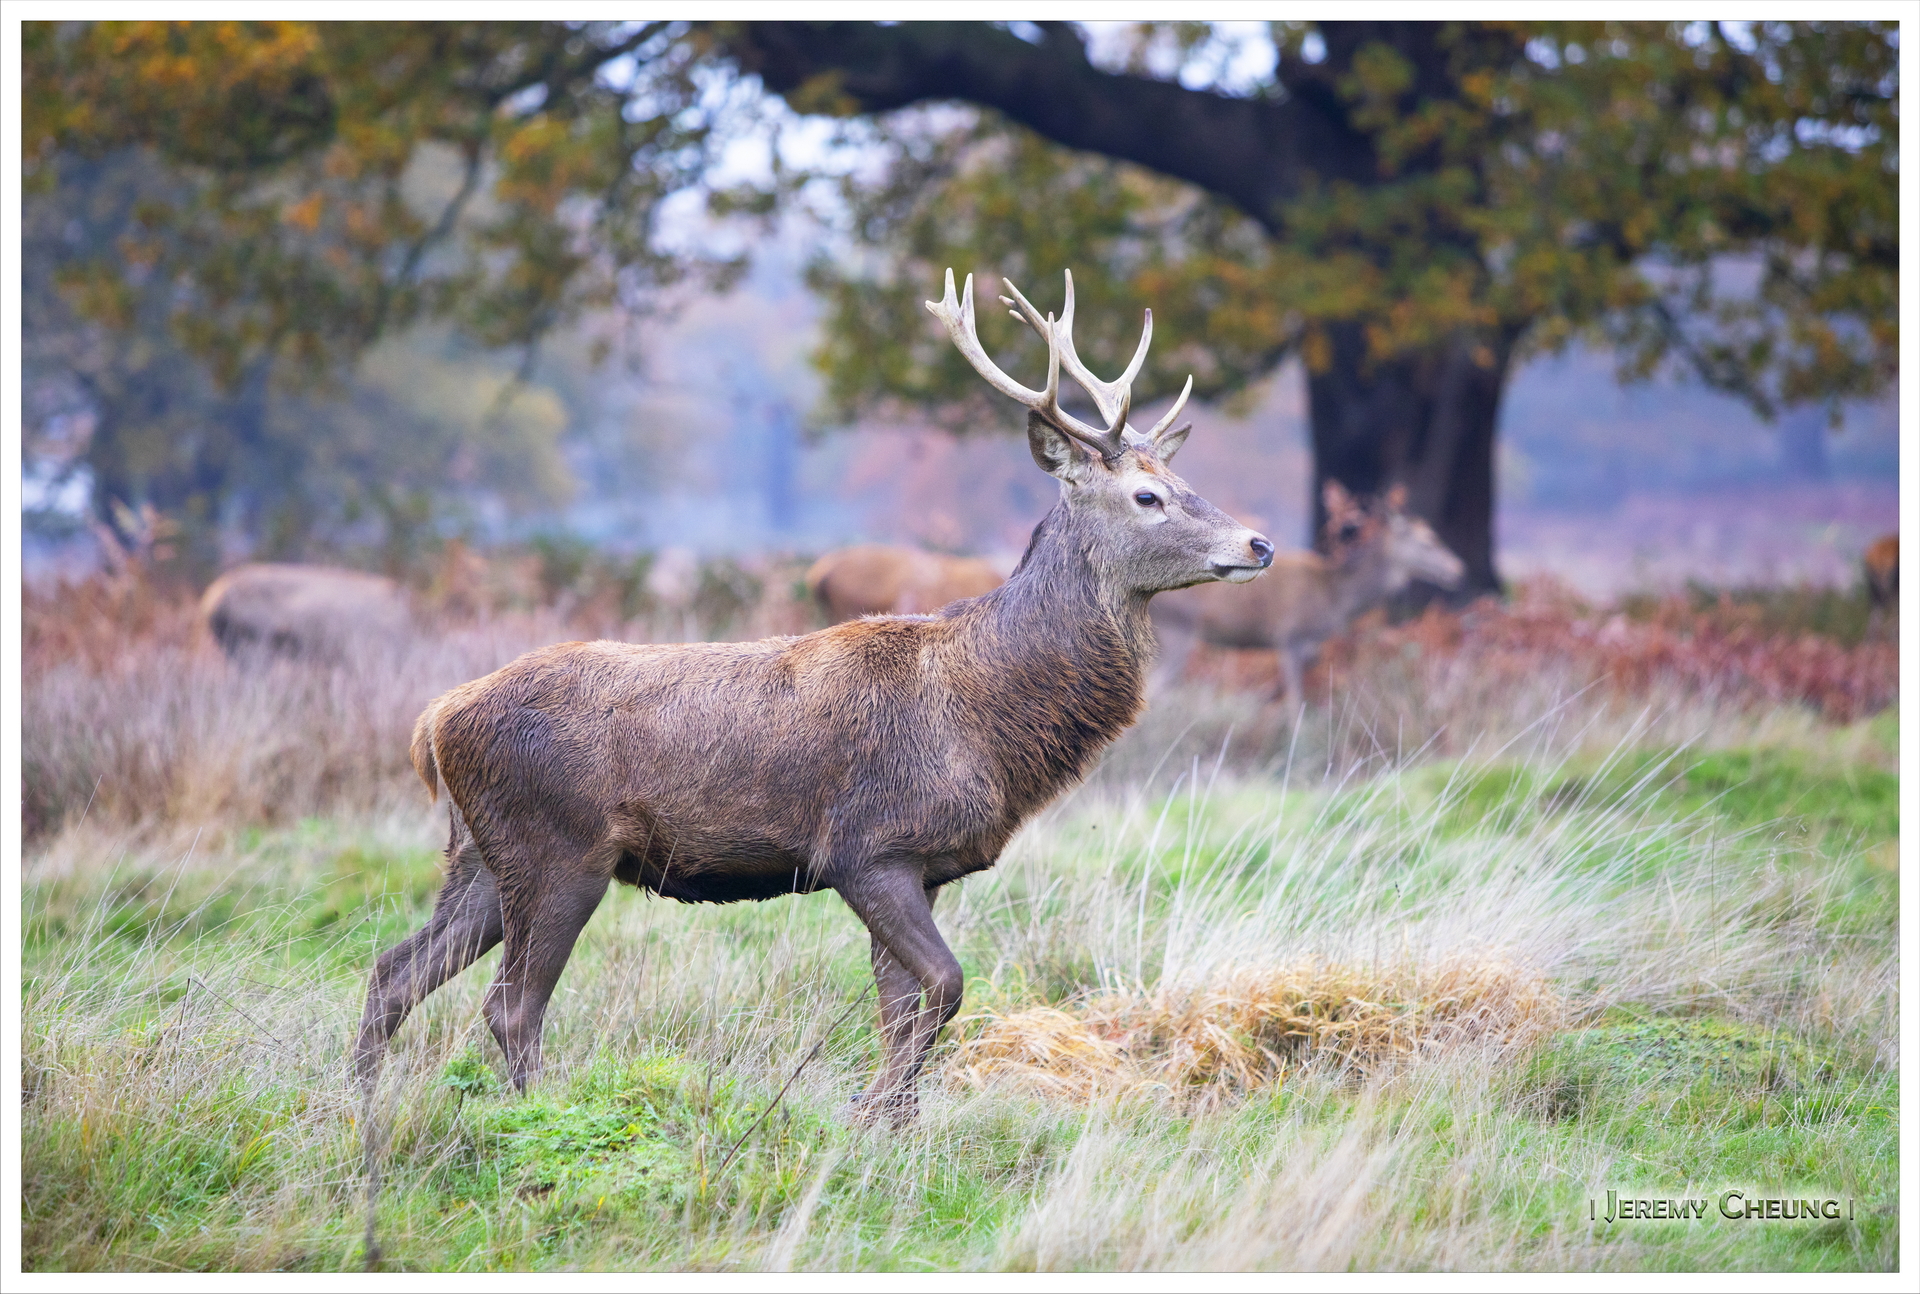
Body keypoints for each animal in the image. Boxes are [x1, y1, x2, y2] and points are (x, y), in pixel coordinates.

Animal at [1150, 482, 1466, 710]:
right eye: (1427, 541)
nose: (1457, 569)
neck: (1334, 600)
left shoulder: (1311, 648)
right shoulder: (1291, 638)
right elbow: (1294, 705)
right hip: (1178, 629)